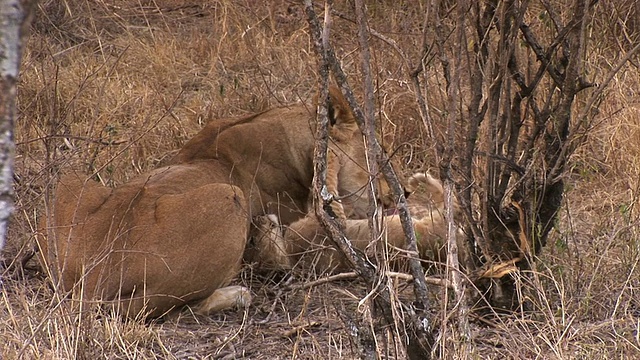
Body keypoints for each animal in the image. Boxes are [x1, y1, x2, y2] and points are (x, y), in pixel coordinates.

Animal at [37, 86, 402, 318]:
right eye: (378, 153)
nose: (399, 195)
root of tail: (92, 282)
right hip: (229, 197)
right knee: (174, 305)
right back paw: (240, 291)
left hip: (65, 180)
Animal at [245, 172, 464, 272]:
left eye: (254, 231)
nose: (258, 216)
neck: (288, 253)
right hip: (432, 222)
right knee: (450, 202)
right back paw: (420, 181)